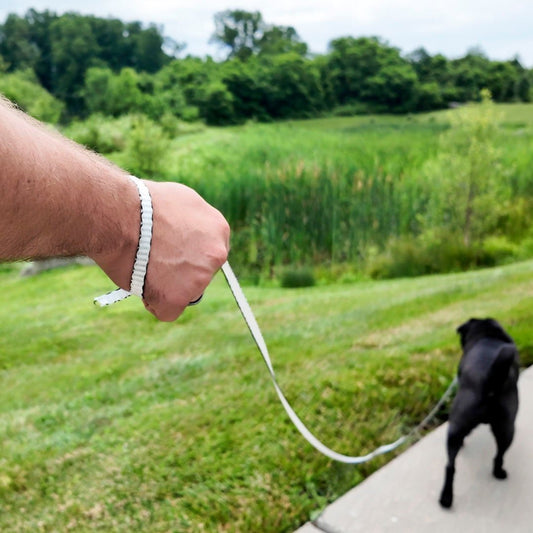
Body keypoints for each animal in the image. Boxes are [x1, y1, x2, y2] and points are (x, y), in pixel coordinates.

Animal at [438, 316, 516, 508]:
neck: (487, 334)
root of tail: (489, 380)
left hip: (455, 430)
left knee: (450, 466)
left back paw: (446, 498)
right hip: (507, 430)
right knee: (499, 455)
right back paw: (498, 472)